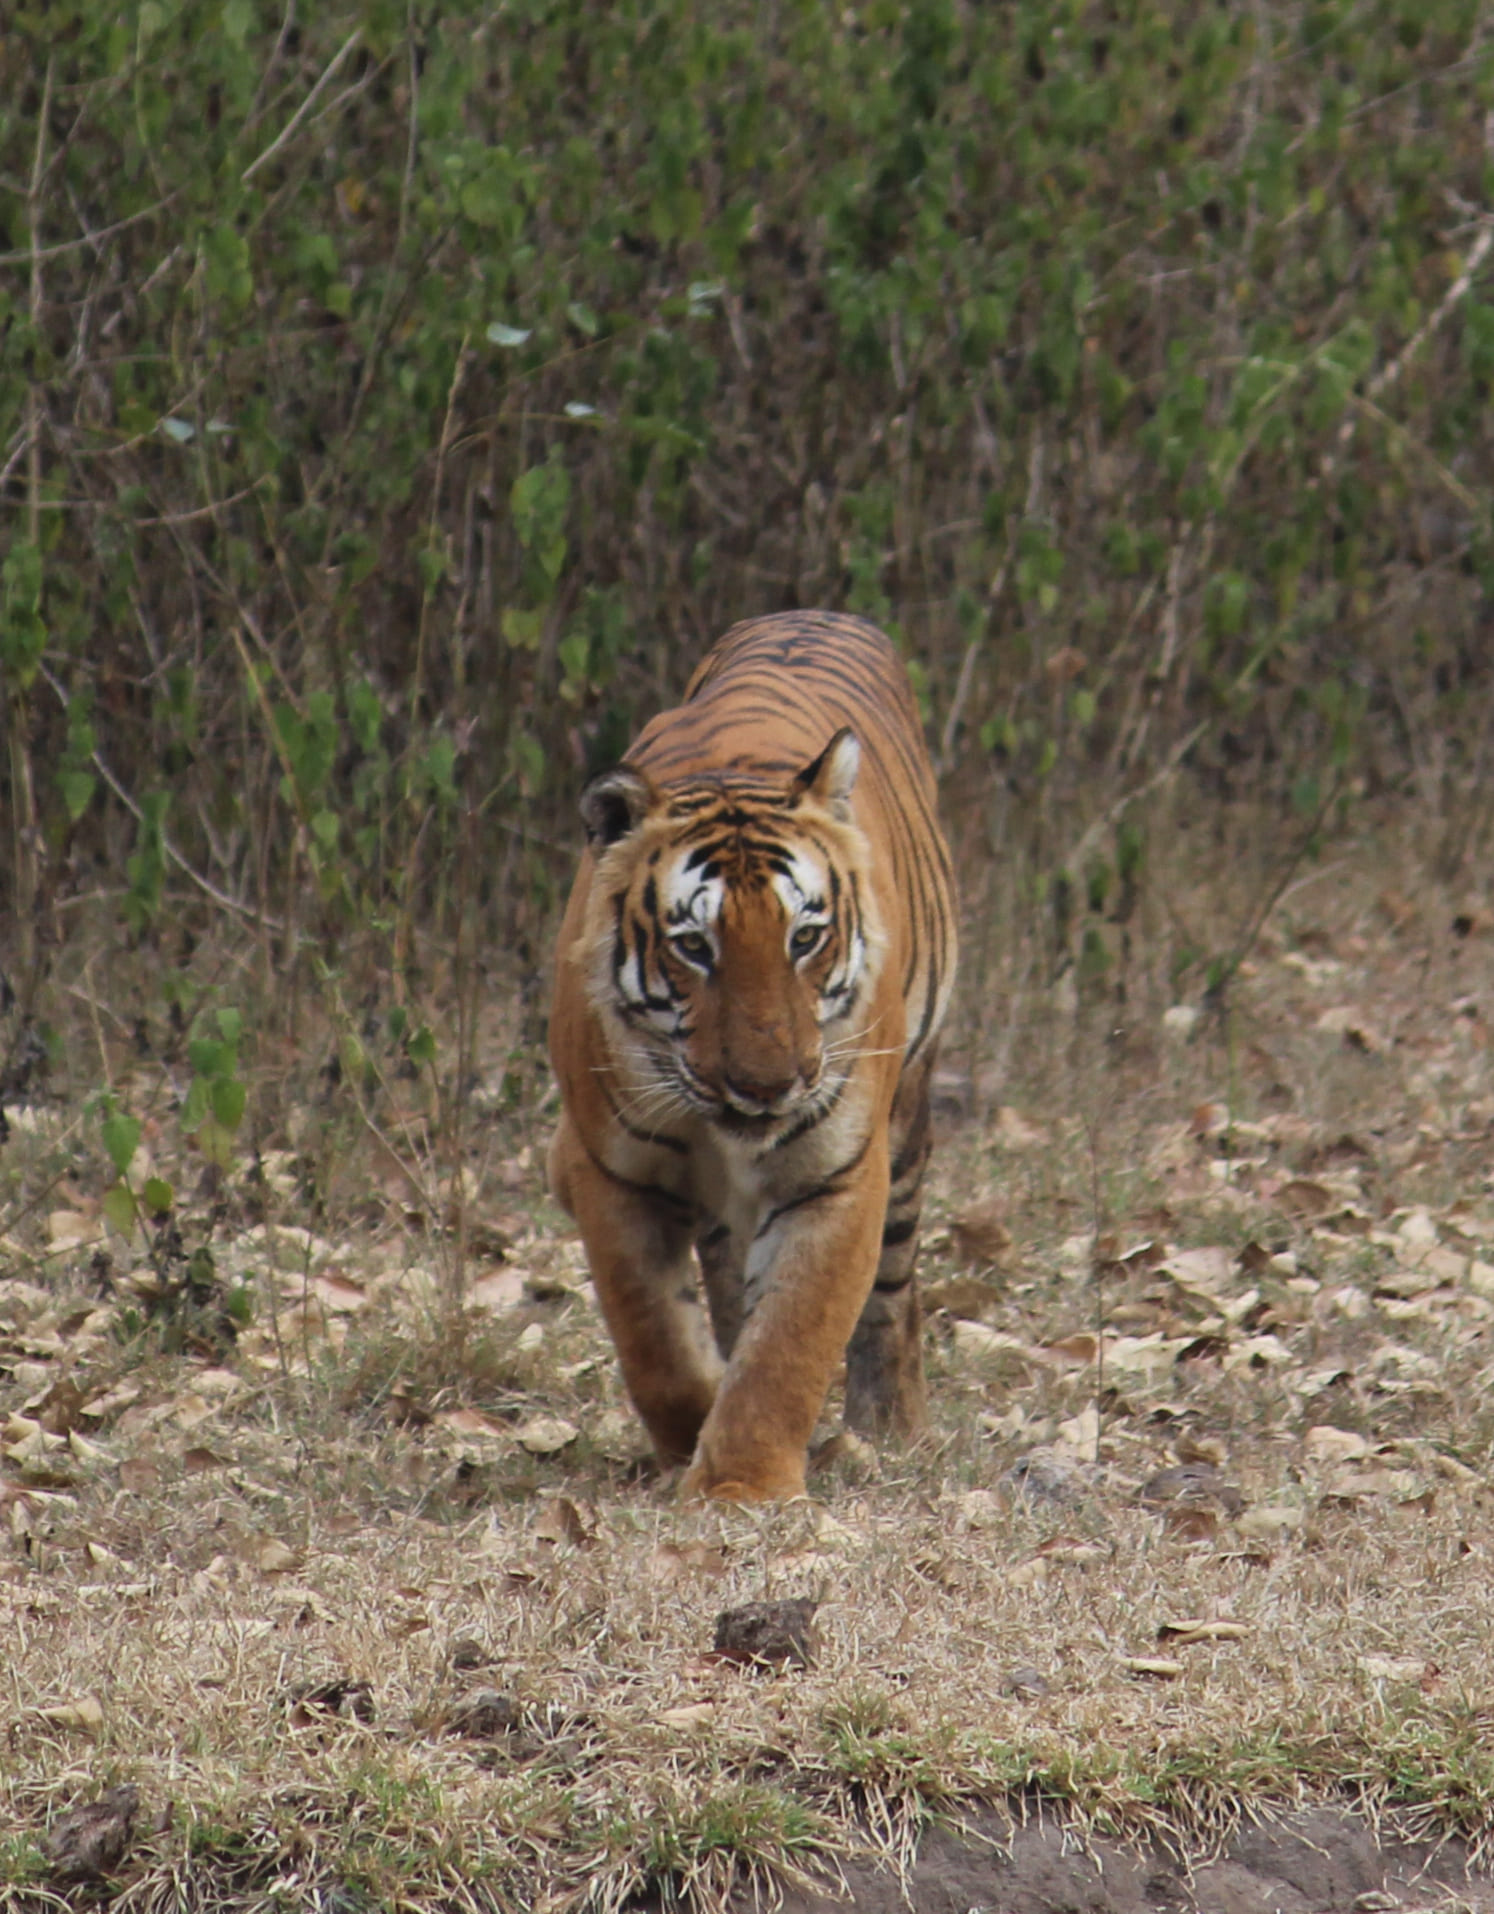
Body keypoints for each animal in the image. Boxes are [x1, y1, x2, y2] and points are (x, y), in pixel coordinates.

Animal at [547, 610, 957, 1503]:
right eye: (694, 947)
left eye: (804, 937)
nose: (766, 1086)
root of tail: (815, 613)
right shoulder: (614, 1171)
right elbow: (657, 1342)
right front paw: (695, 1442)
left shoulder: (838, 1173)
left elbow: (791, 1343)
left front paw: (743, 1486)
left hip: (909, 1121)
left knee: (892, 1289)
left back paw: (893, 1426)